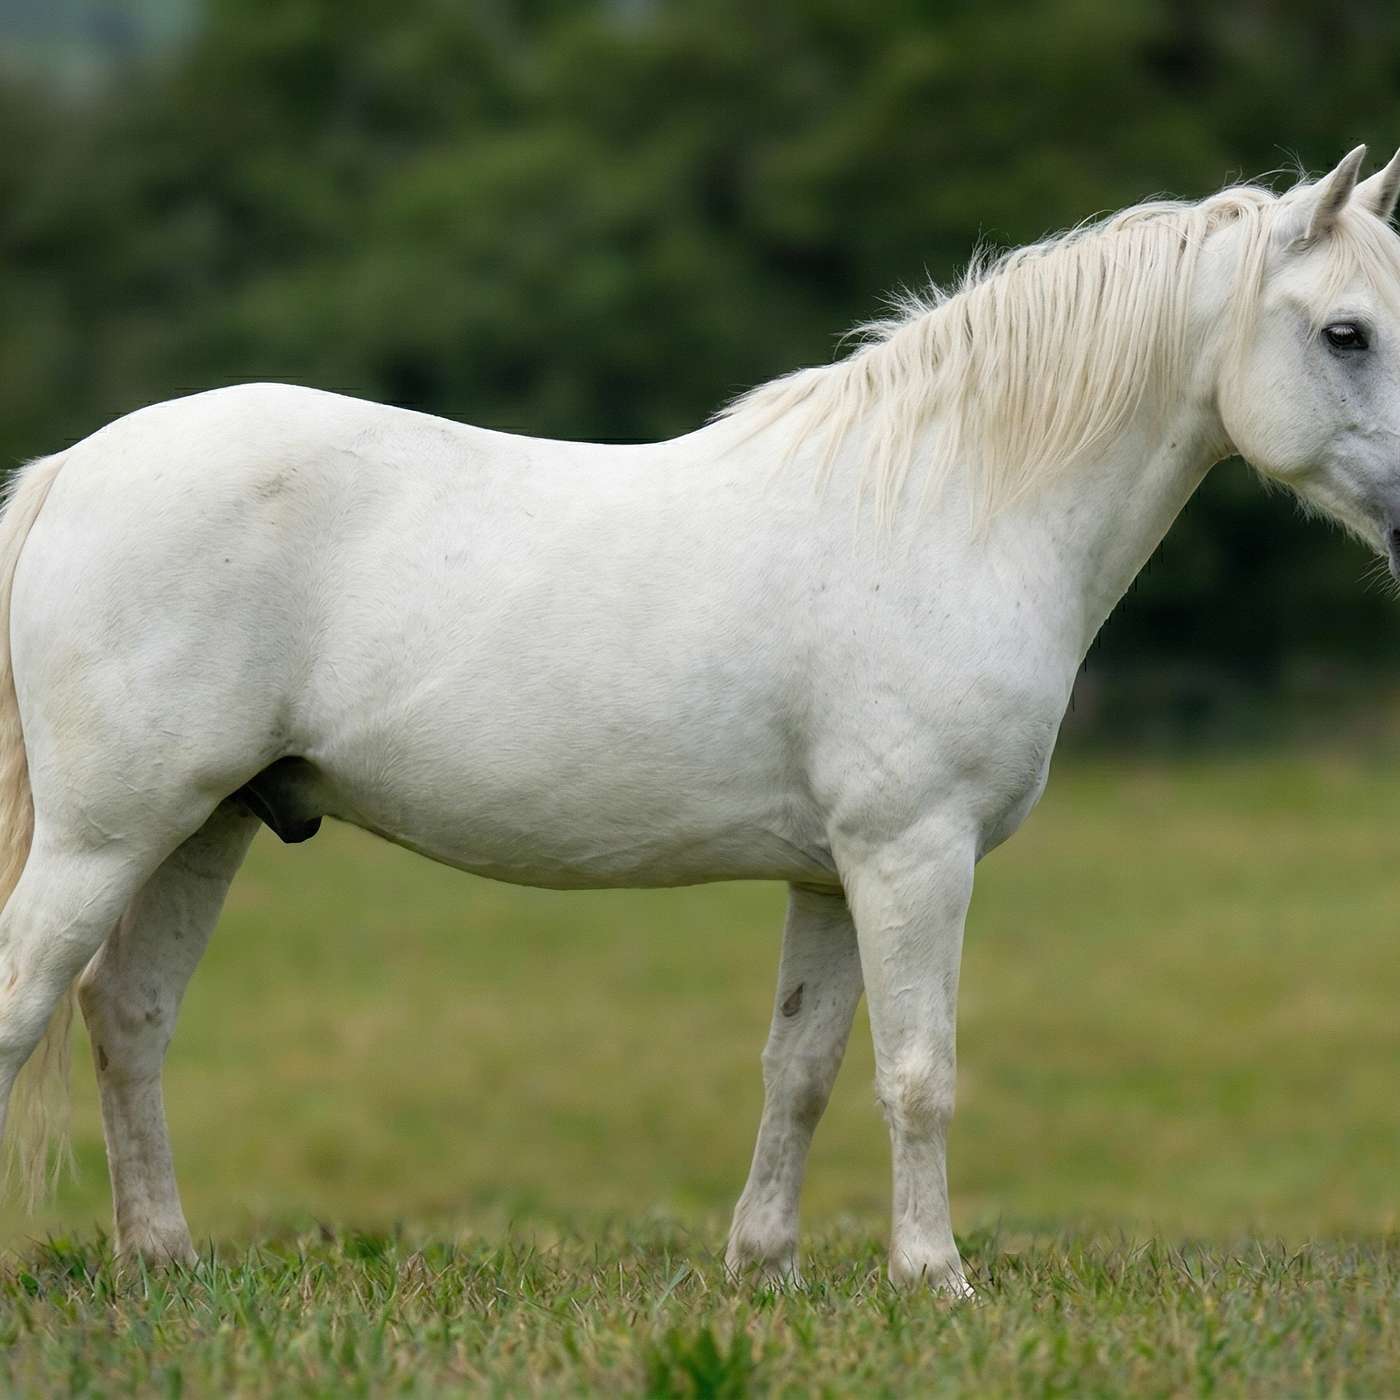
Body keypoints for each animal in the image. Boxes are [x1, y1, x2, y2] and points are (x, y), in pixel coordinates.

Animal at [2, 146, 1399, 1293]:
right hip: (106, 832)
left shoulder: (834, 875)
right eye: (1345, 331)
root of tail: (73, 468)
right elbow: (918, 1073)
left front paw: (762, 1265)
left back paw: (164, 1259)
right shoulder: (912, 853)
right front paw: (932, 1277)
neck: (950, 506)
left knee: (128, 1013)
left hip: (206, 826)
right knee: (32, 995)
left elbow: (803, 1067)